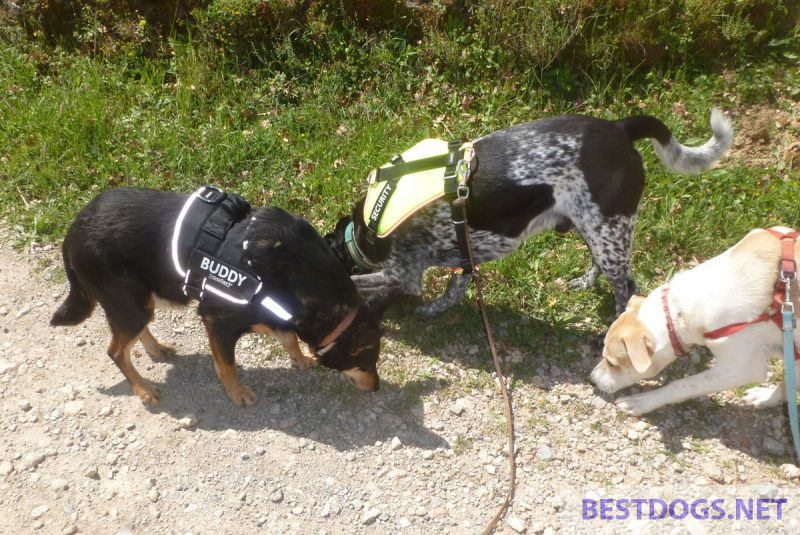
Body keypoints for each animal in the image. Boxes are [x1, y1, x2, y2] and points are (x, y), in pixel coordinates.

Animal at [50, 188, 388, 406]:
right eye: (367, 360)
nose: (377, 388)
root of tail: (71, 233)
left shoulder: (263, 311)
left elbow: (288, 336)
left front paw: (300, 359)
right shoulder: (219, 320)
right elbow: (227, 365)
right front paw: (236, 393)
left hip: (139, 302)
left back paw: (155, 349)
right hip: (129, 304)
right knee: (116, 351)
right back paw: (143, 390)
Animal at [324, 110, 732, 318]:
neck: (364, 229)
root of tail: (621, 128)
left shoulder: (404, 274)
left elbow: (361, 282)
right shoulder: (464, 256)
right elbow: (453, 291)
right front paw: (435, 310)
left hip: (607, 232)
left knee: (627, 289)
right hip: (595, 229)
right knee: (606, 270)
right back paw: (586, 284)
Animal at [592, 228, 800, 416]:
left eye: (611, 362)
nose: (592, 379)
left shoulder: (742, 368)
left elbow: (683, 384)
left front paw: (643, 402)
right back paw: (765, 397)